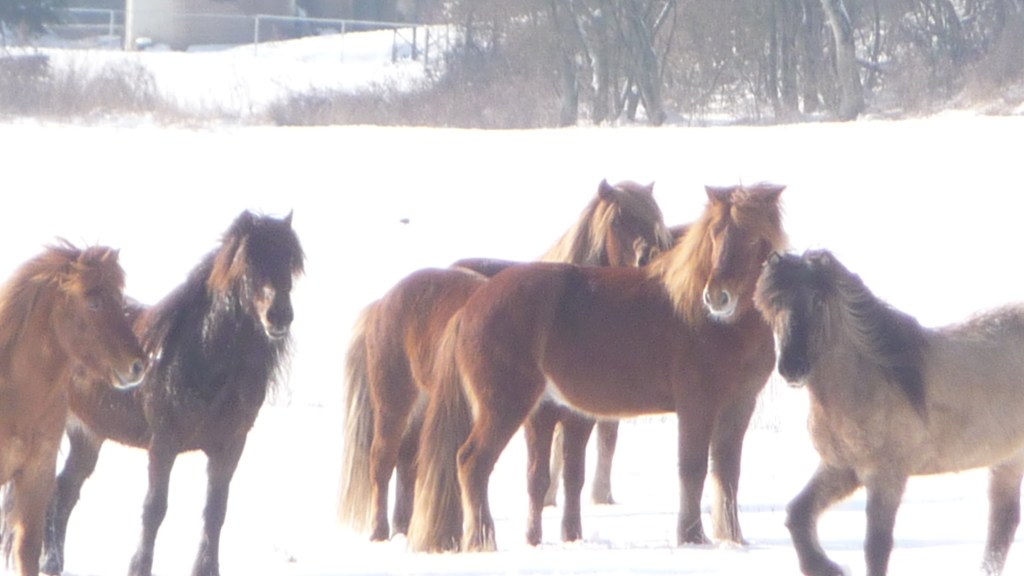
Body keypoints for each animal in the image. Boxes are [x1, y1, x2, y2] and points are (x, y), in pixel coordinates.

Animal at [39, 211, 303, 573]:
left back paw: (52, 562)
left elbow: (215, 512)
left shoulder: (230, 446)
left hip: (87, 434)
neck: (203, 357)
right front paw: (139, 568)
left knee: (64, 492)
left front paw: (207, 569)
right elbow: (155, 509)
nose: (279, 315)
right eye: (248, 260)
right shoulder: (163, 443)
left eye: (289, 260)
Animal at [339, 178, 675, 541]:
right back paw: (380, 530)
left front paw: (571, 536)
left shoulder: (578, 419)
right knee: (382, 460)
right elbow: (538, 478)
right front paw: (534, 537)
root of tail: (384, 301)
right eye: (619, 219)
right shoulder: (538, 417)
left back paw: (404, 527)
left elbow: (573, 476)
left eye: (654, 220)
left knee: (408, 460)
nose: (647, 257)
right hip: (395, 402)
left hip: (427, 404)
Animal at [407, 183, 782, 553]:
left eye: (754, 238)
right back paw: (482, 541)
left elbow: (727, 472)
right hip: (504, 407)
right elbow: (692, 468)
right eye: (715, 235)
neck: (712, 322)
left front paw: (732, 538)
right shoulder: (696, 405)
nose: (717, 297)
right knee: (472, 463)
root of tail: (470, 307)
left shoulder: (738, 405)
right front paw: (692, 538)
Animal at [757, 250, 1024, 573]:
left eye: (818, 300)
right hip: (1008, 461)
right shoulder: (840, 468)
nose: (792, 367)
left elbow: (877, 547)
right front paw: (826, 567)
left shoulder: (886, 476)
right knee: (1001, 527)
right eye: (774, 303)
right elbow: (797, 513)